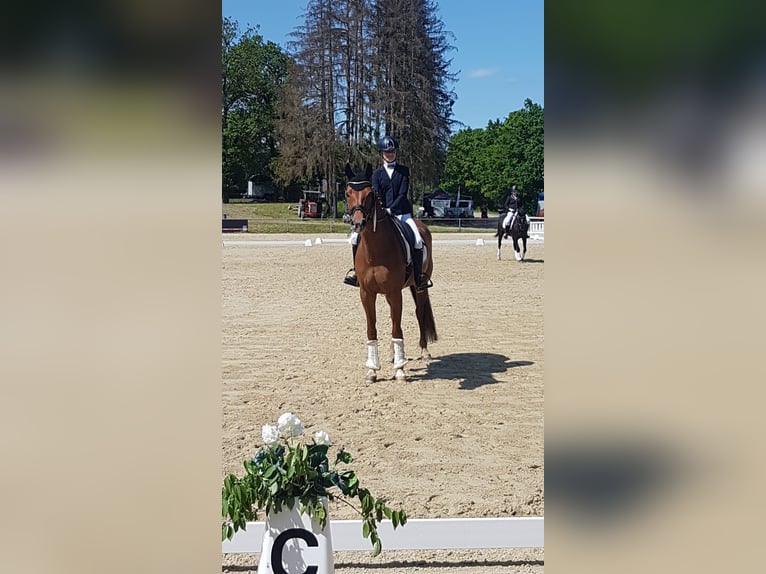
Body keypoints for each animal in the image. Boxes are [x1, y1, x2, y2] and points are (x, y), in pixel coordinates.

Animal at [344, 164, 438, 384]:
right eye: (347, 193)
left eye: (370, 194)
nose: (358, 224)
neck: (376, 251)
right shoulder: (367, 294)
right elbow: (372, 329)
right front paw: (372, 371)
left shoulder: (395, 292)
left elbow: (397, 328)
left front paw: (400, 371)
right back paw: (393, 355)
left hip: (418, 287)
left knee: (419, 312)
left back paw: (423, 351)